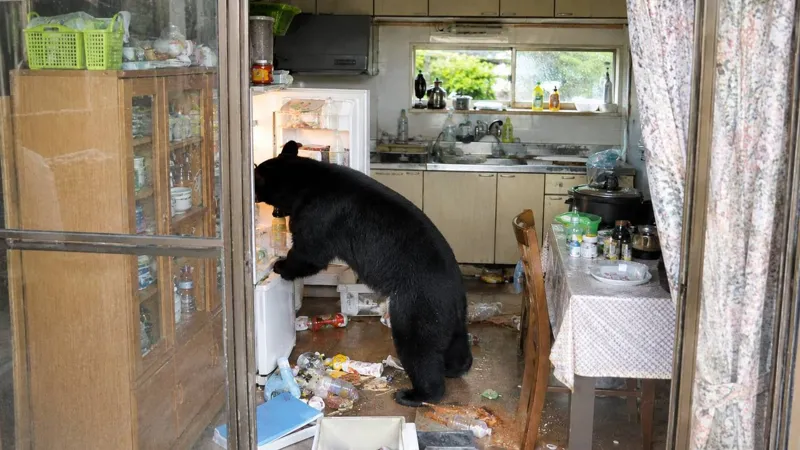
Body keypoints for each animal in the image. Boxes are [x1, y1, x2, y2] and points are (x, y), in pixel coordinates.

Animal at [254, 141, 473, 407]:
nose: (252, 189)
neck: (303, 183)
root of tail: (454, 292)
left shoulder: (318, 214)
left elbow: (310, 252)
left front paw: (281, 265)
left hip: (417, 307)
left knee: (419, 349)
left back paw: (416, 394)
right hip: (447, 315)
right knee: (455, 342)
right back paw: (456, 368)